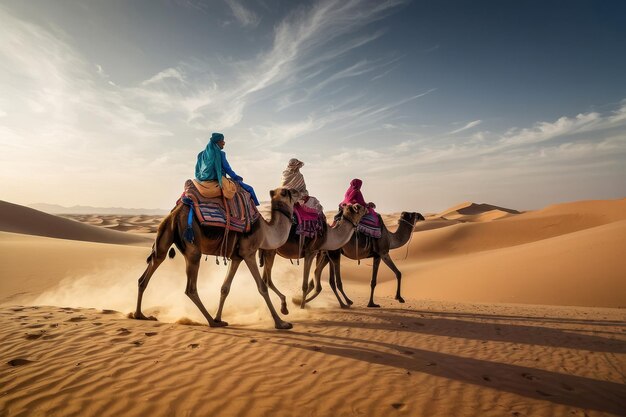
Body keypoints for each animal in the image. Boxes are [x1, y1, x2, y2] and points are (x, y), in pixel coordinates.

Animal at [131, 188, 298, 328]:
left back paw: (140, 315)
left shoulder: (236, 257)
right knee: (190, 288)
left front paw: (219, 317)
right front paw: (281, 323)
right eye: (288, 192)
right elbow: (262, 287)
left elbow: (225, 288)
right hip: (192, 246)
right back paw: (211, 322)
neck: (266, 232)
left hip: (163, 235)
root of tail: (174, 215)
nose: (300, 193)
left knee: (146, 274)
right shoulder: (249, 253)